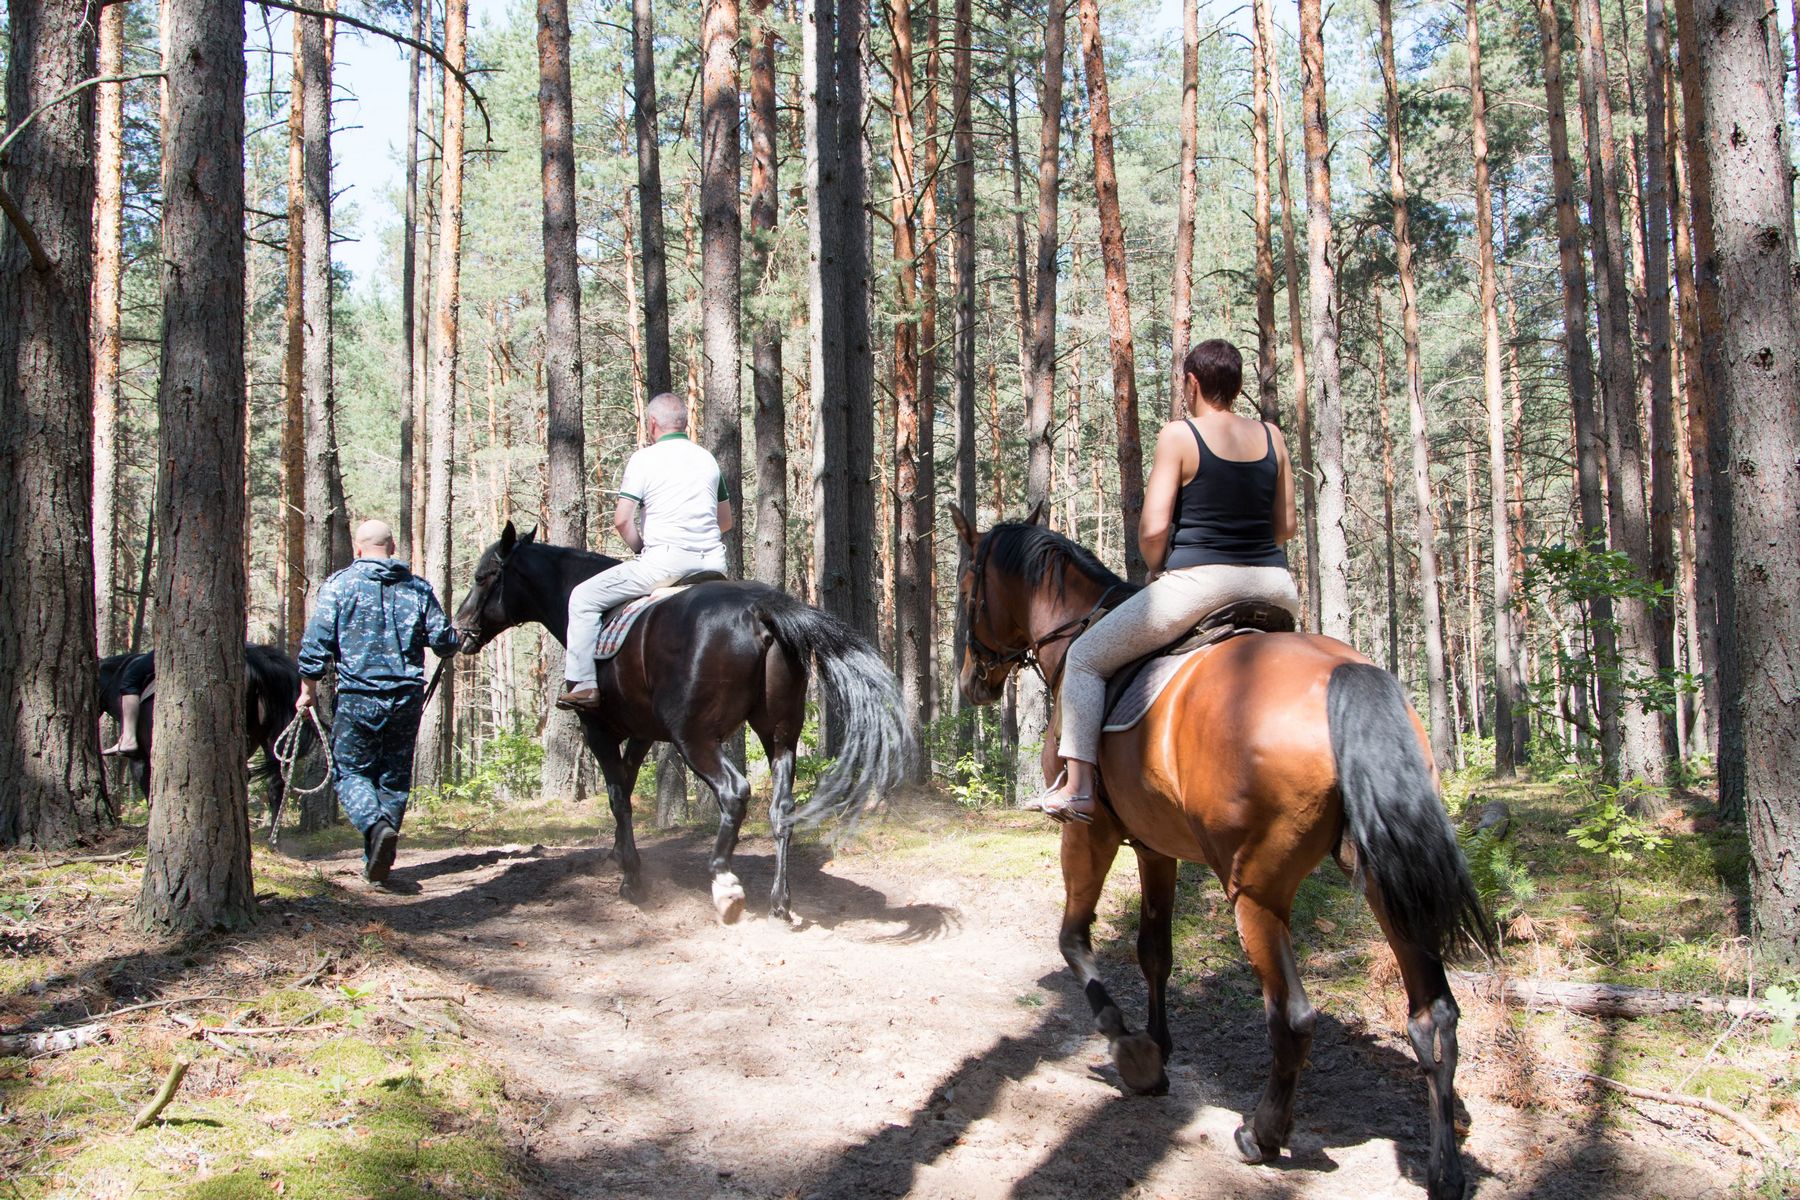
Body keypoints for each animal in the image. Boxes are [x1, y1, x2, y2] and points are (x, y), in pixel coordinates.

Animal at [451, 521, 911, 923]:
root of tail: (761, 609)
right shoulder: (641, 734)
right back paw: (780, 903)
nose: (459, 629)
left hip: (695, 738)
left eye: (482, 576)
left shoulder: (597, 729)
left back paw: (725, 884)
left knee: (734, 792)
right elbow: (628, 785)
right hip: (779, 737)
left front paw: (633, 879)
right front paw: (620, 856)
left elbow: (617, 795)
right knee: (782, 809)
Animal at [949, 510, 1492, 1200]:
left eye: (968, 588)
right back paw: (1444, 1169)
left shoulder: (1091, 831)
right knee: (1434, 1016)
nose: (973, 682)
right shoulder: (1156, 847)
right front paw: (1159, 1042)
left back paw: (1262, 1135)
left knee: (1293, 1017)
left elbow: (1073, 938)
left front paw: (1132, 1050)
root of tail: (1347, 673)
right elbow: (1155, 951)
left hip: (1255, 890)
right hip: (1383, 878)